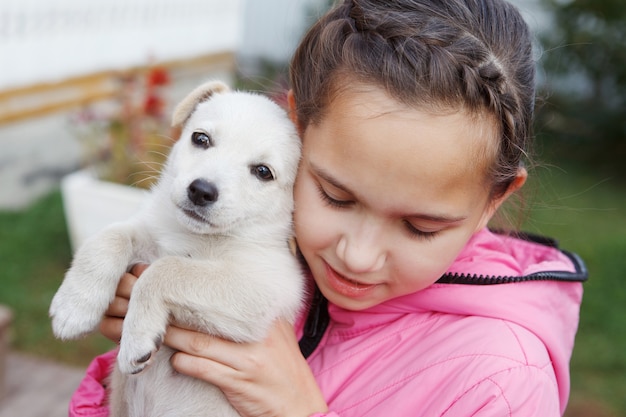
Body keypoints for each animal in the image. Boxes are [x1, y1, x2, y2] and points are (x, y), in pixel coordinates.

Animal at [48, 79, 302, 414]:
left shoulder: (263, 287)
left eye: (263, 172)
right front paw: (74, 308)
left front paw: (137, 339)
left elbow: (165, 270)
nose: (201, 191)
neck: (191, 237)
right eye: (200, 138)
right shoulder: (149, 234)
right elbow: (109, 237)